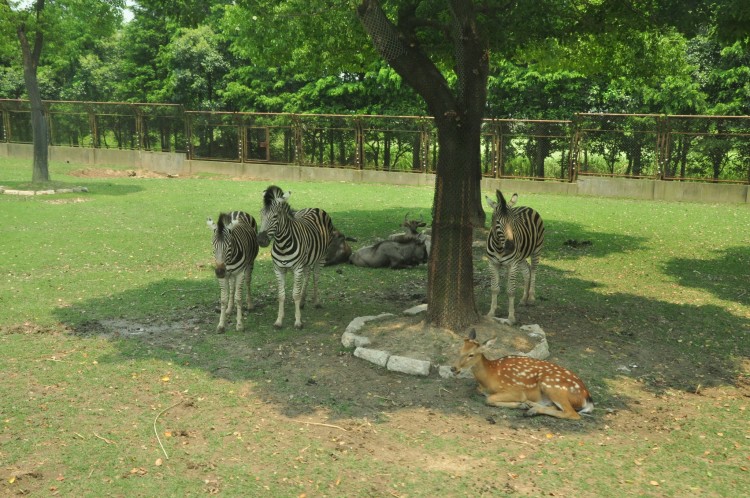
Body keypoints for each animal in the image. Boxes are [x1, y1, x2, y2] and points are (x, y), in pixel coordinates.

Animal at [258, 185, 334, 328]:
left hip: (321, 257)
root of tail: (315, 208)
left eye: (275, 216)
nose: (261, 240)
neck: (282, 245)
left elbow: (295, 294)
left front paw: (298, 321)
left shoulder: (297, 268)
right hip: (306, 260)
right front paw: (279, 320)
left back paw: (316, 302)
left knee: (315, 277)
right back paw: (303, 302)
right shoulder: (279, 269)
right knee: (307, 275)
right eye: (261, 214)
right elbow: (281, 295)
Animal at [452, 330, 600, 420]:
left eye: (471, 354)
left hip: (552, 385)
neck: (489, 377)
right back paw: (531, 407)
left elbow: (489, 399)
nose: (454, 368)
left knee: (572, 413)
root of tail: (587, 397)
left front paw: (520, 404)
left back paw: (529, 408)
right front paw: (523, 405)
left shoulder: (515, 390)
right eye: (460, 350)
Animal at [488, 189, 548, 324]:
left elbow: (511, 291)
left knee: (534, 270)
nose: (511, 246)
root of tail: (527, 207)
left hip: (536, 250)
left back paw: (530, 298)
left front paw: (511, 317)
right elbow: (494, 289)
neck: (500, 248)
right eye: (498, 222)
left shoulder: (513, 264)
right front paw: (491, 312)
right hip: (521, 257)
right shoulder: (492, 263)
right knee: (526, 270)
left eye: (513, 222)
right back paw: (524, 299)